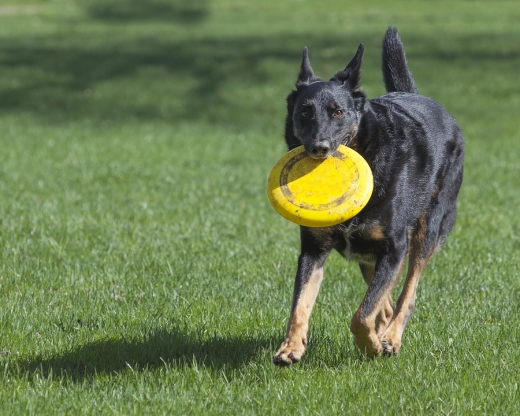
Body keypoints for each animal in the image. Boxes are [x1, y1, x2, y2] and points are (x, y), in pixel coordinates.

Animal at [272, 26, 464, 366]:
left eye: (338, 112)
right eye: (304, 112)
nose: (319, 148)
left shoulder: (394, 247)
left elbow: (361, 315)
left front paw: (372, 345)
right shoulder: (313, 250)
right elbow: (300, 304)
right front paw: (290, 347)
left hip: (427, 229)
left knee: (407, 294)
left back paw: (391, 338)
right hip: (367, 254)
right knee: (384, 302)